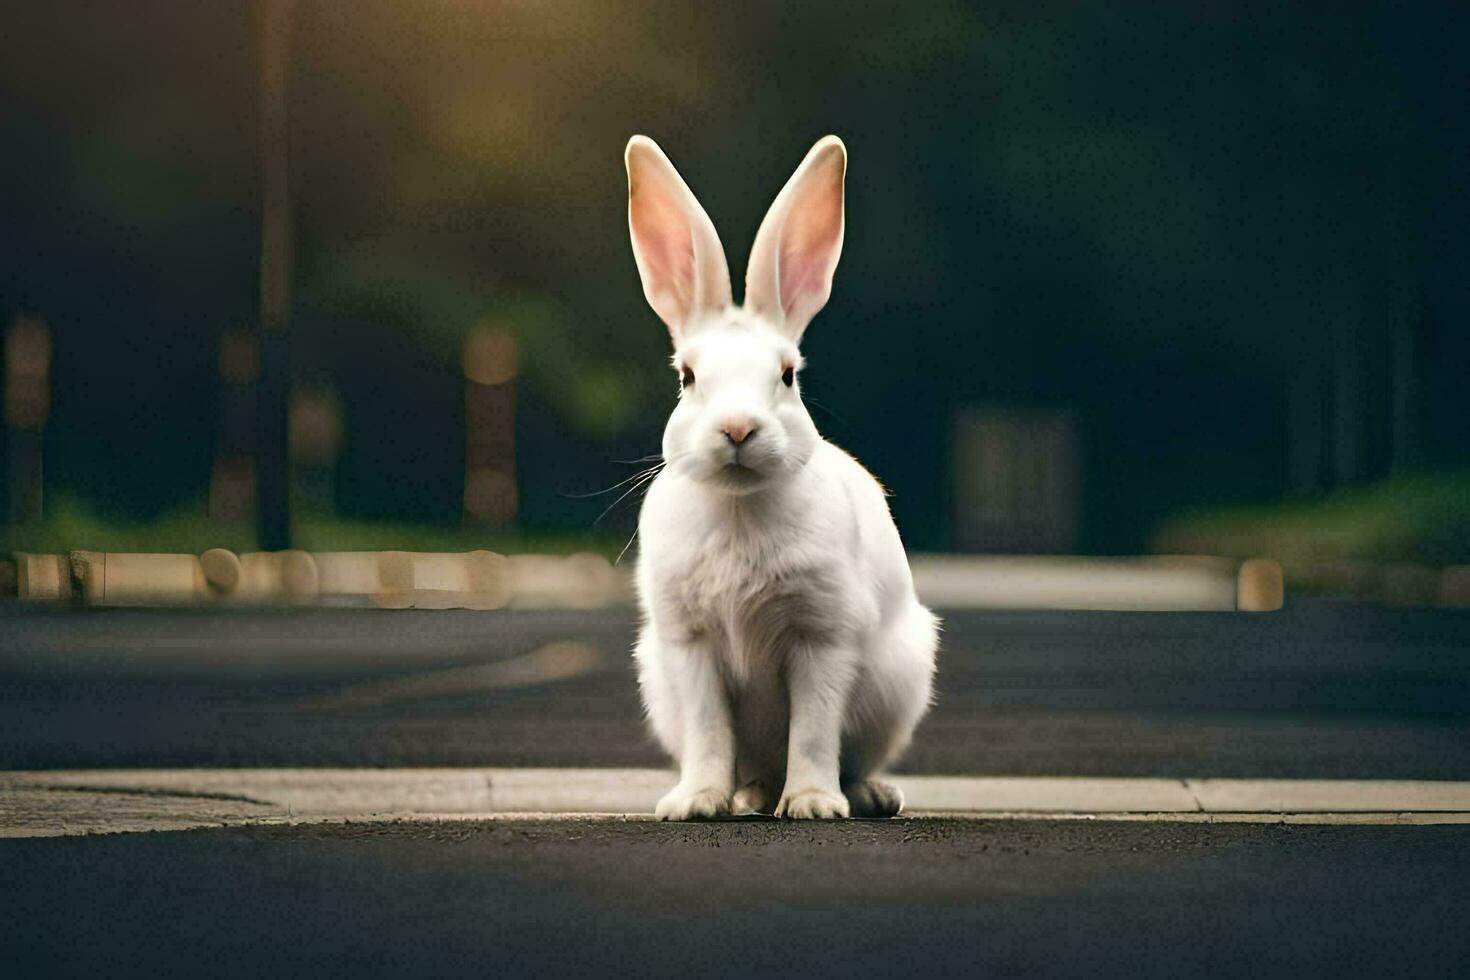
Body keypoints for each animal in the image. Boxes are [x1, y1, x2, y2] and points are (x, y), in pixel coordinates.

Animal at [626, 132, 934, 822]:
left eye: (788, 375)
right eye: (687, 376)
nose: (739, 429)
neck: (740, 507)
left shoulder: (823, 637)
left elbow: (815, 731)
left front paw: (814, 804)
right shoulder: (690, 646)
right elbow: (710, 733)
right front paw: (696, 803)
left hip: (898, 684)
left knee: (852, 759)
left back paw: (867, 795)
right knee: (752, 769)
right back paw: (749, 797)